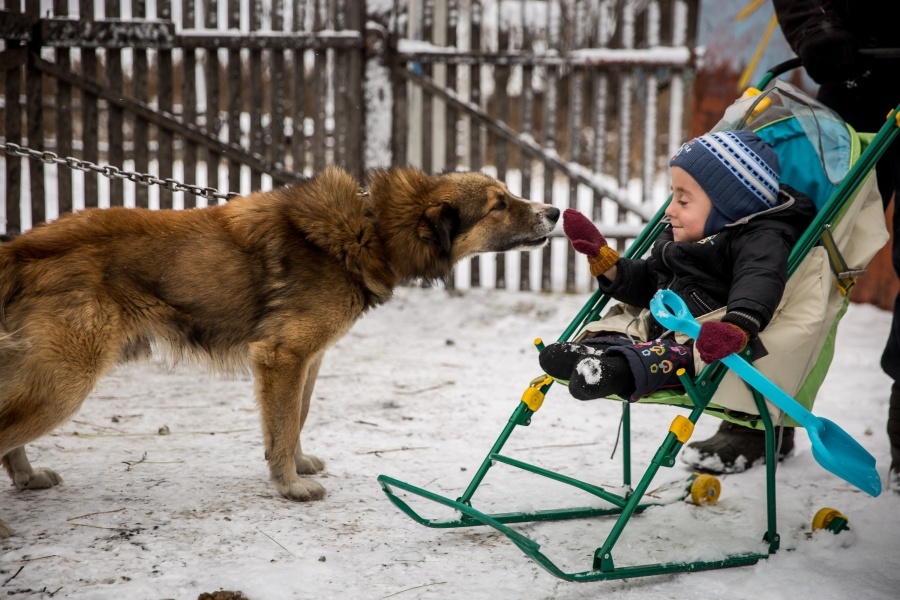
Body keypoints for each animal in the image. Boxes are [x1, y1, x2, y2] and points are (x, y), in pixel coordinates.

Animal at [0, 164, 560, 536]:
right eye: (499, 204)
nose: (554, 210)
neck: (370, 229)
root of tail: (22, 247)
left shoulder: (307, 359)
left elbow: (295, 419)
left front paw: (298, 464)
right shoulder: (282, 355)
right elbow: (284, 422)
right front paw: (290, 488)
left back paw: (27, 479)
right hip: (66, 379)